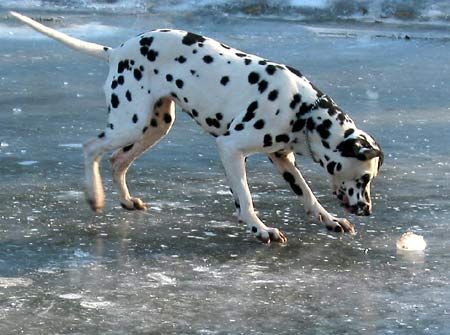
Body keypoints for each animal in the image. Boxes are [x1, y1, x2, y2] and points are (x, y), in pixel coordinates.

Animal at [10, 11, 384, 244]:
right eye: (365, 178)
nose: (367, 210)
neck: (304, 110)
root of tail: (117, 50)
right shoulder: (231, 149)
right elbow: (245, 198)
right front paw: (258, 228)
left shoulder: (282, 158)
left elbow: (307, 194)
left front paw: (329, 220)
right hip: (129, 124)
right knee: (90, 148)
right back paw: (95, 196)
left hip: (156, 126)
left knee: (117, 161)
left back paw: (127, 201)